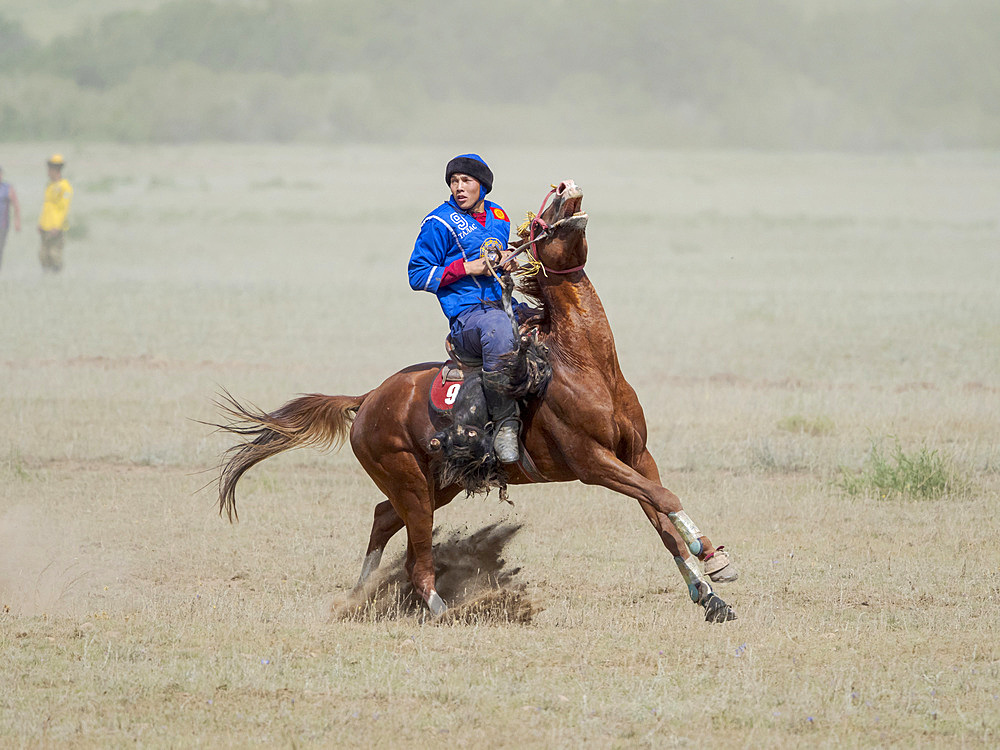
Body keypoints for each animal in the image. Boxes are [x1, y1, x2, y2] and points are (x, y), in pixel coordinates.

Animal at [215, 181, 740, 624]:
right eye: (536, 224)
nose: (565, 186)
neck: (584, 366)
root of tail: (367, 400)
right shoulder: (593, 462)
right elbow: (664, 500)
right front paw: (712, 555)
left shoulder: (636, 455)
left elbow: (660, 517)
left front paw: (710, 593)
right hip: (411, 483)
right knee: (416, 553)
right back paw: (439, 609)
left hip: (437, 484)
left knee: (385, 519)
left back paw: (361, 593)